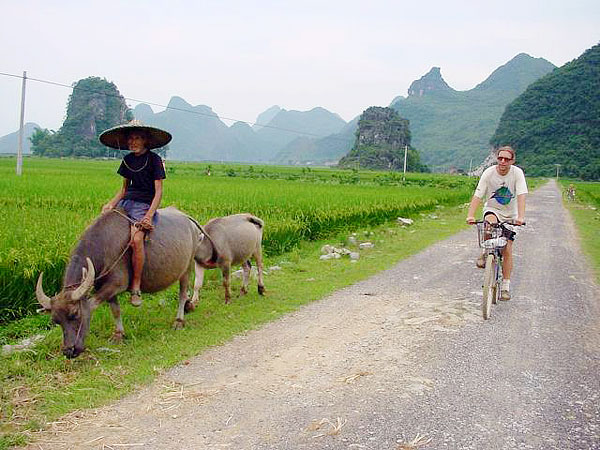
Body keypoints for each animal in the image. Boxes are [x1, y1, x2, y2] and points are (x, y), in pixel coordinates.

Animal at [37, 207, 204, 358]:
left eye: (75, 314)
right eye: (56, 321)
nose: (69, 351)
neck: (104, 245)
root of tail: (189, 220)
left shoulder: (117, 284)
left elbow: (94, 304)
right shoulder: (106, 287)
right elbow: (115, 310)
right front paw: (119, 334)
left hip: (187, 267)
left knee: (182, 293)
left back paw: (179, 320)